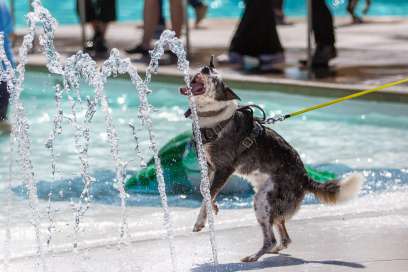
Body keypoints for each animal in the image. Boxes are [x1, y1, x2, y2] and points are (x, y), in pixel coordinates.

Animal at [180, 58, 364, 264]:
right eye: (209, 69)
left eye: (214, 78)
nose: (204, 68)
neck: (213, 117)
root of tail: (305, 178)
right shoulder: (210, 167)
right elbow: (205, 190)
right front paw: (214, 207)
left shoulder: (224, 168)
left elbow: (208, 193)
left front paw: (200, 222)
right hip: (270, 201)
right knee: (283, 234)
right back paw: (274, 249)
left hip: (262, 200)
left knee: (271, 238)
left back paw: (255, 255)